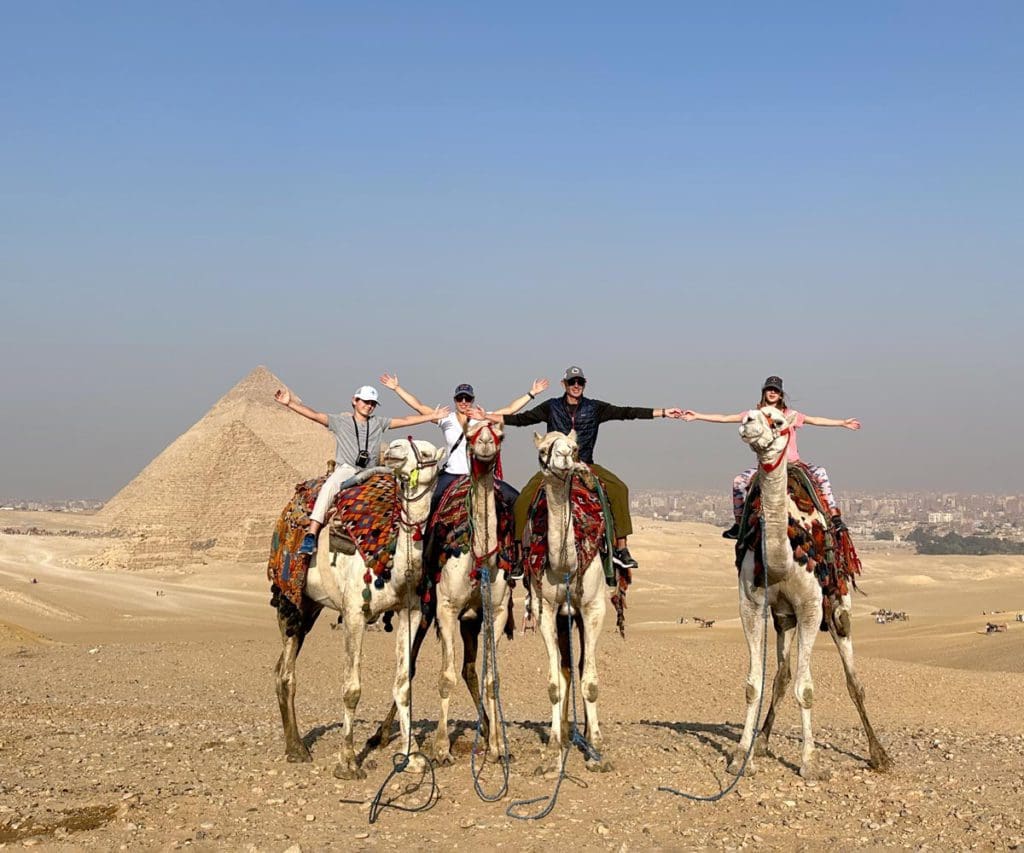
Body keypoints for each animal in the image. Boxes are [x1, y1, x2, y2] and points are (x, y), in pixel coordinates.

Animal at [272, 438, 444, 778]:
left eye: (427, 452)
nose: (394, 448)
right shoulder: (353, 613)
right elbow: (351, 689)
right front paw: (348, 761)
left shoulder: (411, 612)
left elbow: (403, 685)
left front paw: (412, 757)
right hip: (290, 600)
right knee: (286, 673)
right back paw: (297, 748)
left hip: (310, 606)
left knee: (279, 668)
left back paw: (293, 743)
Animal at [733, 405, 892, 778]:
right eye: (753, 412)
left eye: (777, 420)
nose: (747, 421)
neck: (782, 557)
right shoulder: (752, 604)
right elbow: (754, 685)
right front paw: (741, 755)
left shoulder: (810, 607)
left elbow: (806, 689)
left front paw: (809, 763)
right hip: (783, 618)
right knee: (781, 675)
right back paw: (762, 743)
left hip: (837, 602)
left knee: (853, 679)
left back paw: (879, 754)